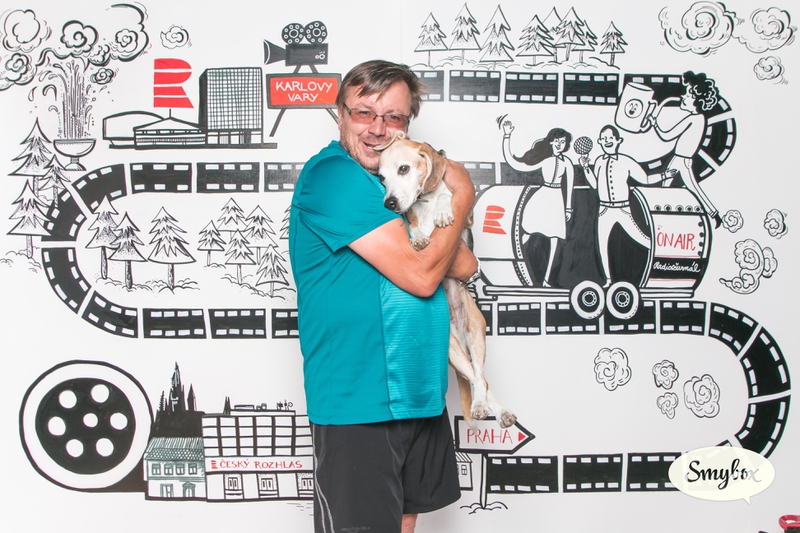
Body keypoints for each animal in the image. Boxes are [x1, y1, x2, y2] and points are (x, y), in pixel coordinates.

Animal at [376, 130, 517, 429]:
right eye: (381, 177)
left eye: (403, 169)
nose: (388, 204)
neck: (424, 199)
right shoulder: (409, 213)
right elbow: (413, 222)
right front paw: (419, 236)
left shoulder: (468, 216)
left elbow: (446, 197)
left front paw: (442, 211)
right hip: (454, 352)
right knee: (478, 379)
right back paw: (484, 408)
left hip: (476, 335)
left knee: (482, 379)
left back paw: (491, 410)